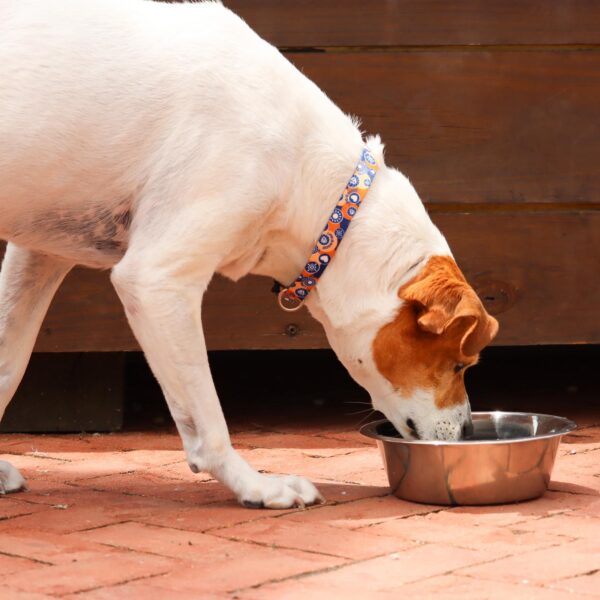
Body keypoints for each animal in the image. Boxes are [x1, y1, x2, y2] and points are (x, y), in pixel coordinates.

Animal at [0, 0, 496, 506]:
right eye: (459, 364)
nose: (469, 434)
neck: (308, 177)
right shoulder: (156, 281)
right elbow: (209, 421)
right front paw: (257, 484)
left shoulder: (39, 254)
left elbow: (8, 364)